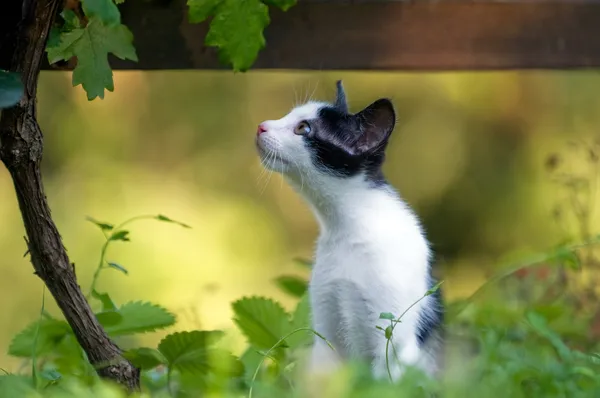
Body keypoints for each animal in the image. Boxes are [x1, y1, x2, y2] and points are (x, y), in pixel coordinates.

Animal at [255, 80, 442, 380]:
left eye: (304, 128)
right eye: (290, 116)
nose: (261, 126)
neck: (344, 227)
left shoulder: (394, 339)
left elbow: (385, 383)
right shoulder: (326, 335)